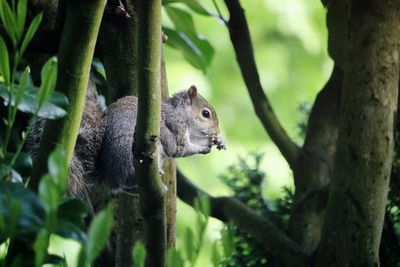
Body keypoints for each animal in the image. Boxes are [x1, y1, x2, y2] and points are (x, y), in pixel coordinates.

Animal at [28, 85, 225, 198]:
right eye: (205, 113)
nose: (216, 131)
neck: (181, 112)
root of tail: (107, 175)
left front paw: (217, 141)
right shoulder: (174, 126)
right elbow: (179, 149)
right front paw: (205, 147)